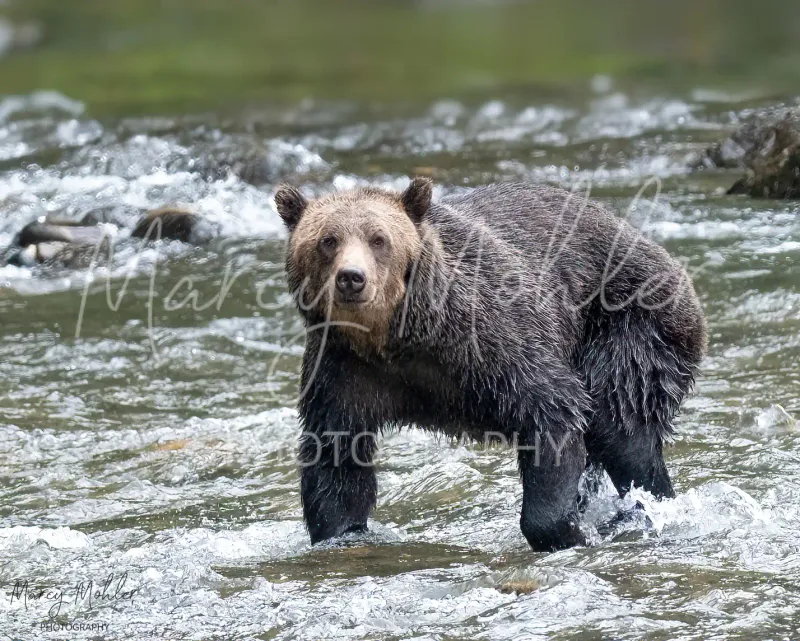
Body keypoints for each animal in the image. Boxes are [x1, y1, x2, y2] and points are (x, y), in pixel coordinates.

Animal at [276, 179, 708, 552]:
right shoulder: (344, 371)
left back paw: (642, 509)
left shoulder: (490, 340)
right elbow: (336, 454)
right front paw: (341, 531)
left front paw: (560, 530)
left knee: (621, 425)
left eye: (378, 239)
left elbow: (552, 409)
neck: (397, 338)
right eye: (328, 240)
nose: (352, 278)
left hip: (630, 319)